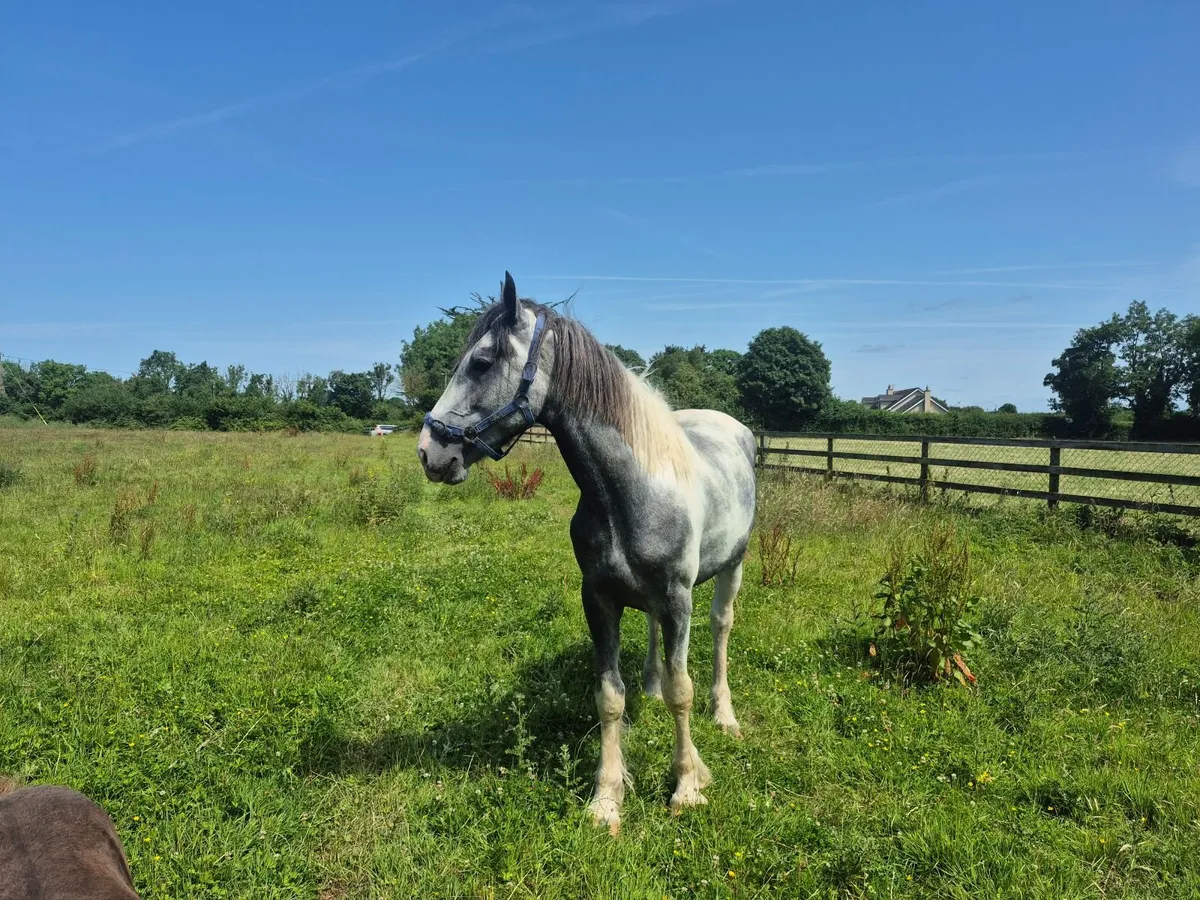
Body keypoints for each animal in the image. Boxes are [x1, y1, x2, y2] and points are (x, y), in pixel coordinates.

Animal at [418, 272, 756, 834]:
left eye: (482, 362)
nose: (429, 452)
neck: (630, 489)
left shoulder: (678, 598)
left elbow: (683, 690)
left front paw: (688, 785)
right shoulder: (598, 598)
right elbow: (610, 697)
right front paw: (606, 799)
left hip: (732, 567)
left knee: (721, 628)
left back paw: (725, 716)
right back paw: (650, 688)